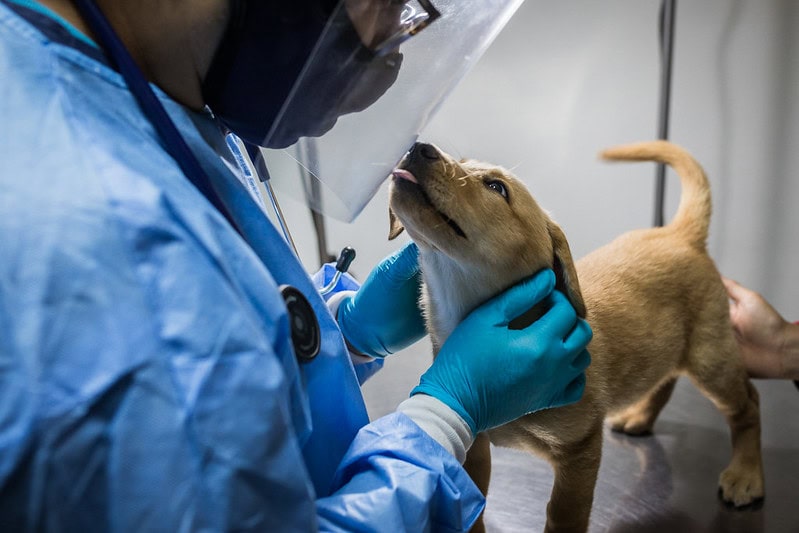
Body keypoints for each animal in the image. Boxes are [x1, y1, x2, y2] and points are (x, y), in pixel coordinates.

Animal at [387, 140, 764, 533]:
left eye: (496, 188)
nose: (418, 147)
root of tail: (679, 234)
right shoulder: (471, 445)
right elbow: (468, 504)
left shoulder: (579, 448)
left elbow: (564, 513)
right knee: (666, 378)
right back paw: (640, 416)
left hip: (711, 358)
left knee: (748, 405)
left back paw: (745, 475)